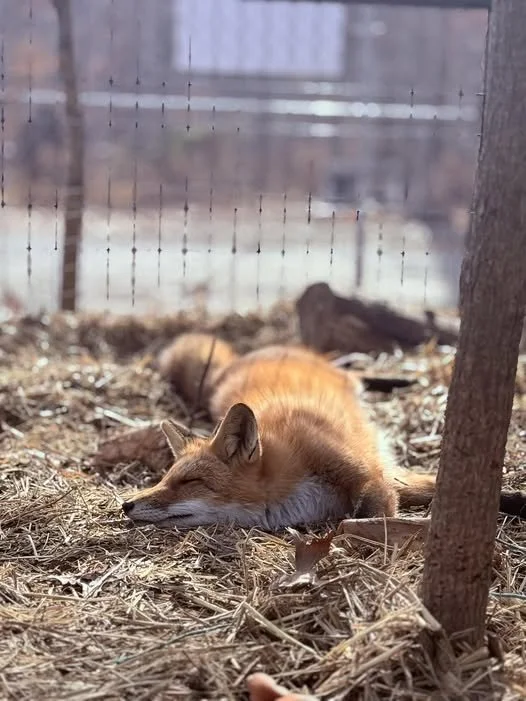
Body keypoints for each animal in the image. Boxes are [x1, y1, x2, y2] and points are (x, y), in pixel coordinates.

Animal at [122, 333, 526, 529]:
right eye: (164, 479)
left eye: (190, 482)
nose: (126, 504)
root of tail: (233, 366)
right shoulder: (392, 479)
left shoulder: (369, 473)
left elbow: (373, 513)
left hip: (343, 380)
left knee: (355, 371)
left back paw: (400, 379)